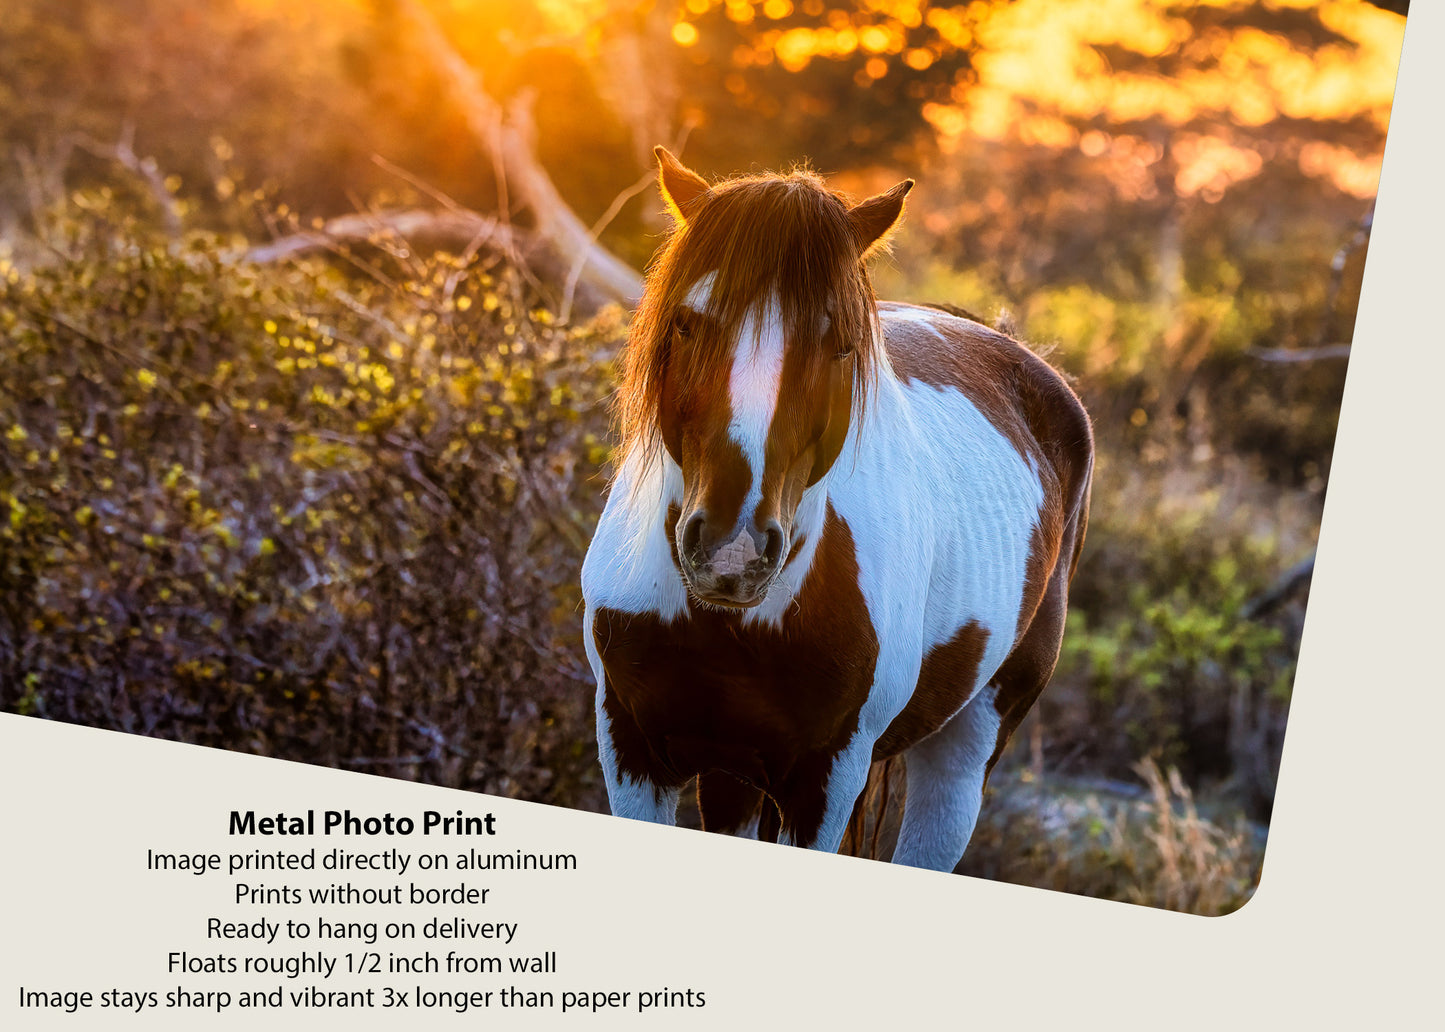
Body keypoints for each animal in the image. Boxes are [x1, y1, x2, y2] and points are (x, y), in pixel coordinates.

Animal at [581, 148, 1093, 872]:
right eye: (686, 321)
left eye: (842, 344)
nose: (732, 551)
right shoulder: (630, 750)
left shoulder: (825, 781)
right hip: (733, 776)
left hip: (967, 751)